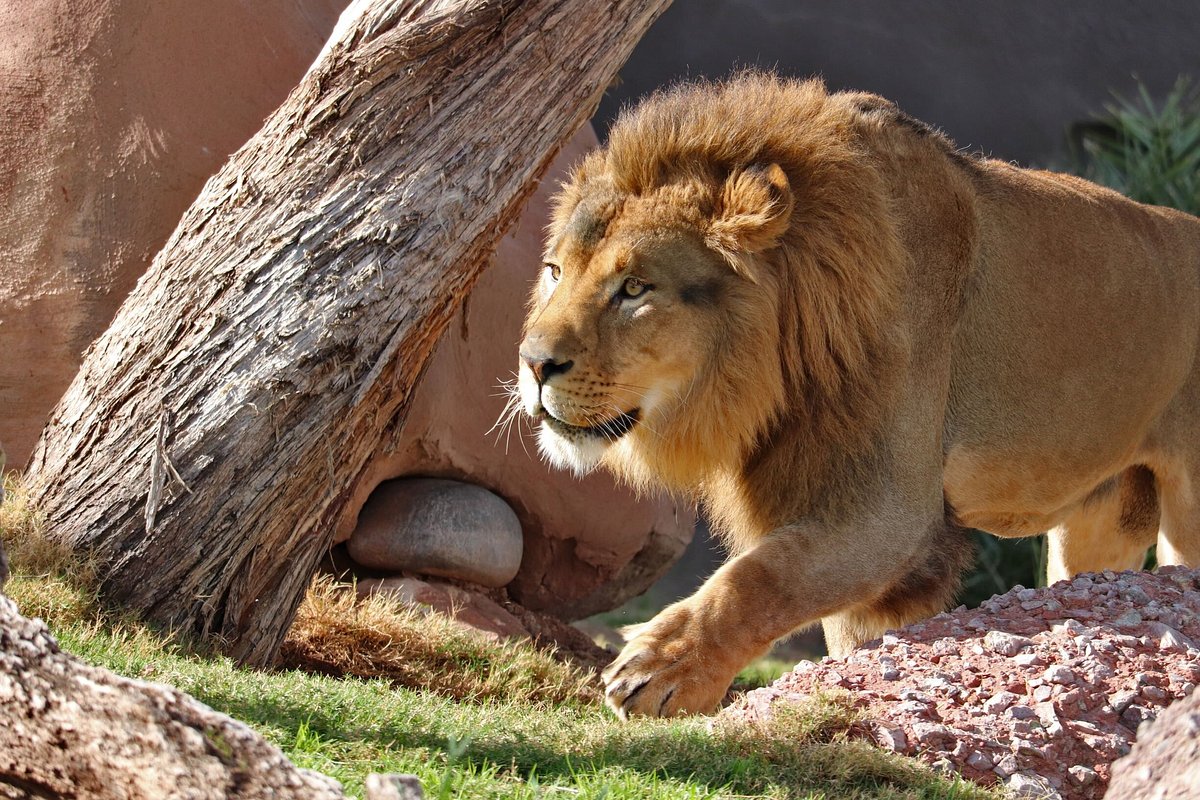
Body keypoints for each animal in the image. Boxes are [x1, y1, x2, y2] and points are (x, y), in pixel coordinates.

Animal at [513, 73, 1200, 719]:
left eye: (634, 288)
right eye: (554, 271)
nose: (533, 364)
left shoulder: (891, 509)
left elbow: (762, 576)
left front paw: (662, 669)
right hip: (1098, 524)